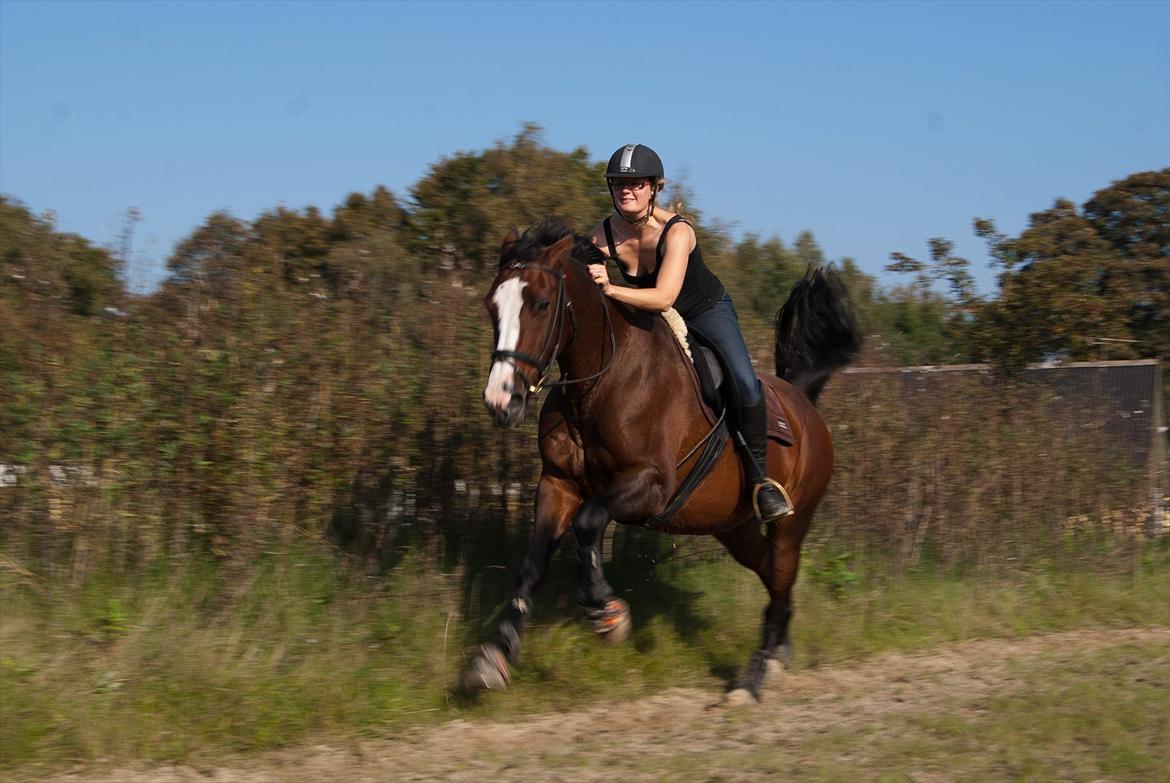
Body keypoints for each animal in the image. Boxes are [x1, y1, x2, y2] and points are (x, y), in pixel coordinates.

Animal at [465, 216, 861, 697]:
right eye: (491, 307)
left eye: (541, 304)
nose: (501, 401)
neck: (598, 383)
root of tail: (803, 402)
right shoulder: (558, 483)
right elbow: (533, 563)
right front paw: (493, 657)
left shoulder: (650, 485)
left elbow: (588, 524)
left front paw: (607, 613)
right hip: (734, 526)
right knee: (773, 575)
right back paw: (778, 654)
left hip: (792, 519)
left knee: (783, 569)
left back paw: (753, 680)